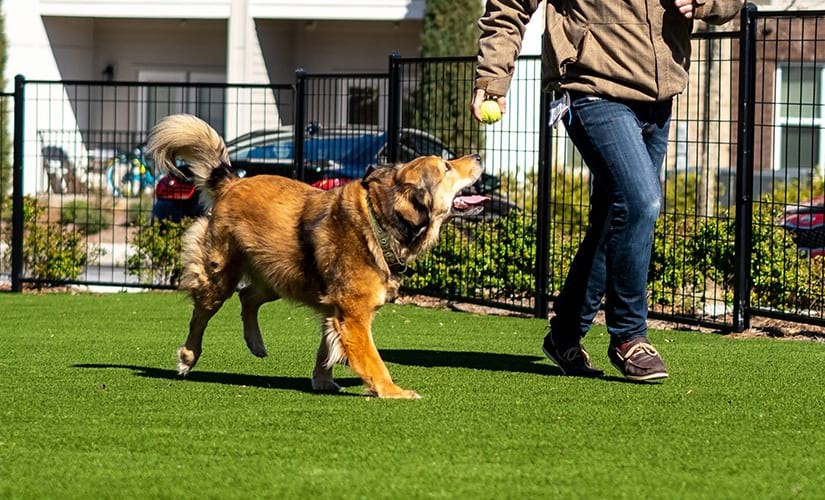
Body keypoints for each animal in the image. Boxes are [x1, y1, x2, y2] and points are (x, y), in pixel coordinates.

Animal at [146, 115, 490, 400]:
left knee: (248, 297)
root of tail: (233, 181)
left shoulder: (336, 307)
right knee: (201, 314)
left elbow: (327, 346)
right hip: (221, 274)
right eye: (446, 167)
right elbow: (373, 360)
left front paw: (323, 381)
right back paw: (188, 358)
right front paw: (393, 391)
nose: (478, 155)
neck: (378, 222)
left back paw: (255, 343)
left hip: (282, 274)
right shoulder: (354, 315)